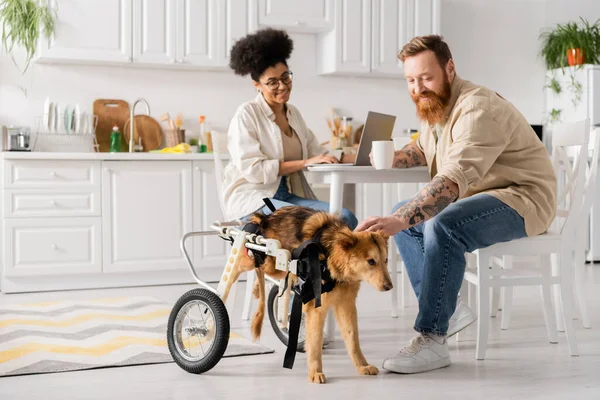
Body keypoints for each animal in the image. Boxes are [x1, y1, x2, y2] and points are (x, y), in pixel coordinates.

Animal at [220, 206, 394, 384]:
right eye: (371, 261)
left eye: (385, 260)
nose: (389, 287)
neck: (330, 258)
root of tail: (265, 217)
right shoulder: (317, 308)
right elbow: (315, 343)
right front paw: (315, 372)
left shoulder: (346, 306)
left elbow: (353, 340)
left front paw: (362, 366)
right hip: (267, 258)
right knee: (244, 264)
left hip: (279, 266)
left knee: (272, 278)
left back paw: (258, 289)